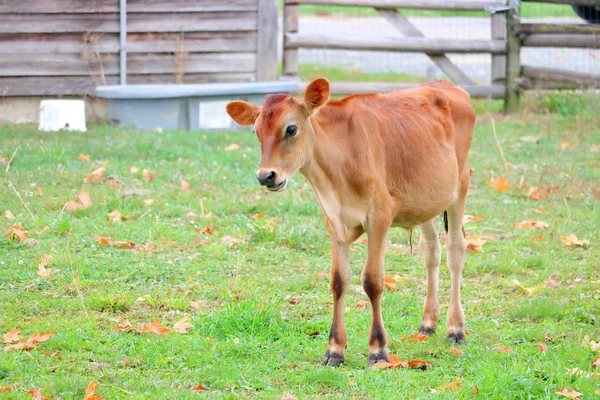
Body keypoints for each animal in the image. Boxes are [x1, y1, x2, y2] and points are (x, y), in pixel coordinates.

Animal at [227, 78, 476, 366]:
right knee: (431, 252)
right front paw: (335, 349)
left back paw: (455, 328)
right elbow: (338, 280)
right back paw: (428, 323)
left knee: (455, 252)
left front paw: (378, 350)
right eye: (256, 132)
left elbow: (372, 280)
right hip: (426, 201)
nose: (266, 175)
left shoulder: (379, 216)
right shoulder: (332, 219)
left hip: (460, 185)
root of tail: (445, 84)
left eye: (291, 128)